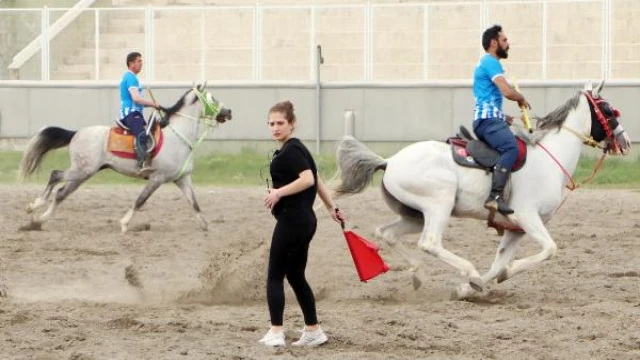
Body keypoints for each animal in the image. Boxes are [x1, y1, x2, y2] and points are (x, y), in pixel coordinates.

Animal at [18, 83, 234, 233]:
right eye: (212, 98)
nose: (229, 111)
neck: (177, 136)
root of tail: (76, 132)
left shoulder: (182, 179)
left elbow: (194, 203)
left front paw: (206, 226)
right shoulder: (157, 178)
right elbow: (140, 201)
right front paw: (124, 224)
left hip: (83, 173)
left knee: (61, 193)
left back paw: (40, 220)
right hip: (82, 170)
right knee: (55, 175)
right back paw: (34, 206)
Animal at [336, 81, 632, 298]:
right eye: (608, 110)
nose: (626, 141)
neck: (548, 159)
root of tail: (389, 161)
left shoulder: (516, 228)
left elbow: (499, 263)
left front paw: (472, 287)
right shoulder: (527, 217)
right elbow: (549, 249)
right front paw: (488, 277)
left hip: (414, 215)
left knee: (387, 234)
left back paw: (420, 275)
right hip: (439, 205)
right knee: (429, 243)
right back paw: (466, 270)